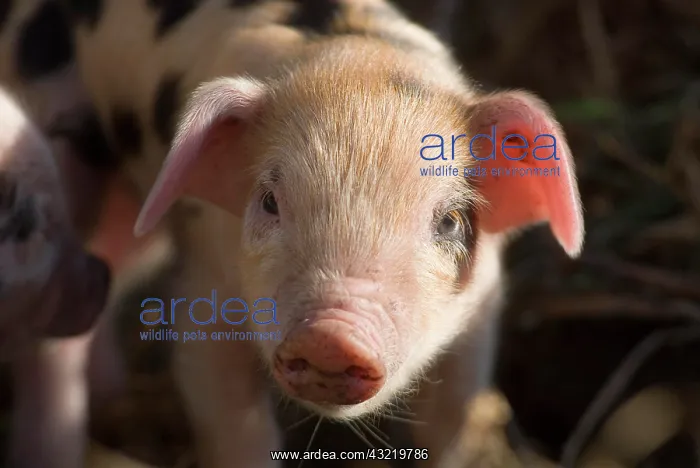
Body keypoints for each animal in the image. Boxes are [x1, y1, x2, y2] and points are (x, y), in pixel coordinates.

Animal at [55, 0, 584, 466]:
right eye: (270, 200)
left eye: (450, 220)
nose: (331, 335)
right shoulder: (205, 283)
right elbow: (229, 420)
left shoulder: (480, 313)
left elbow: (451, 417)